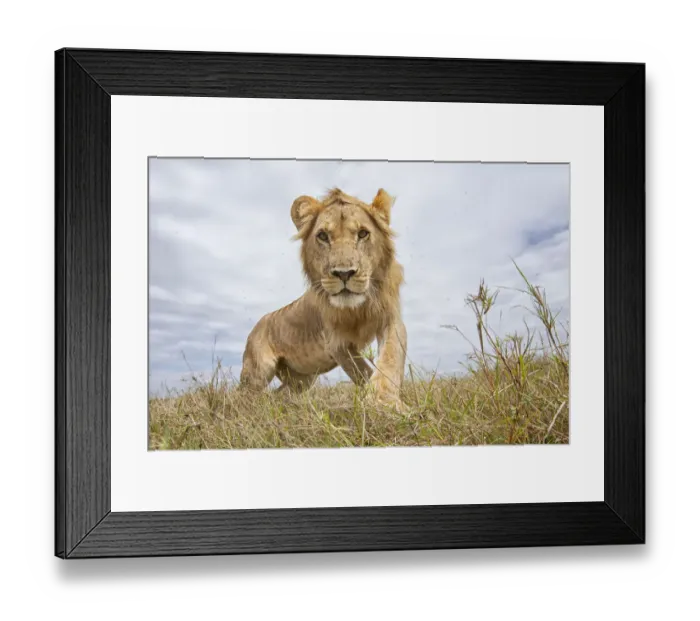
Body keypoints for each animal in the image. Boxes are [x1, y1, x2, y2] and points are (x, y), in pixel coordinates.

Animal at [240, 188, 407, 407]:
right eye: (323, 236)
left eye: (363, 233)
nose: (344, 273)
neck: (358, 308)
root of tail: (257, 325)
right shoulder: (337, 343)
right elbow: (363, 371)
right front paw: (377, 402)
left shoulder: (390, 320)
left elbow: (391, 357)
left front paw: (384, 401)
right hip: (257, 372)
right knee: (242, 395)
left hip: (302, 378)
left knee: (281, 393)